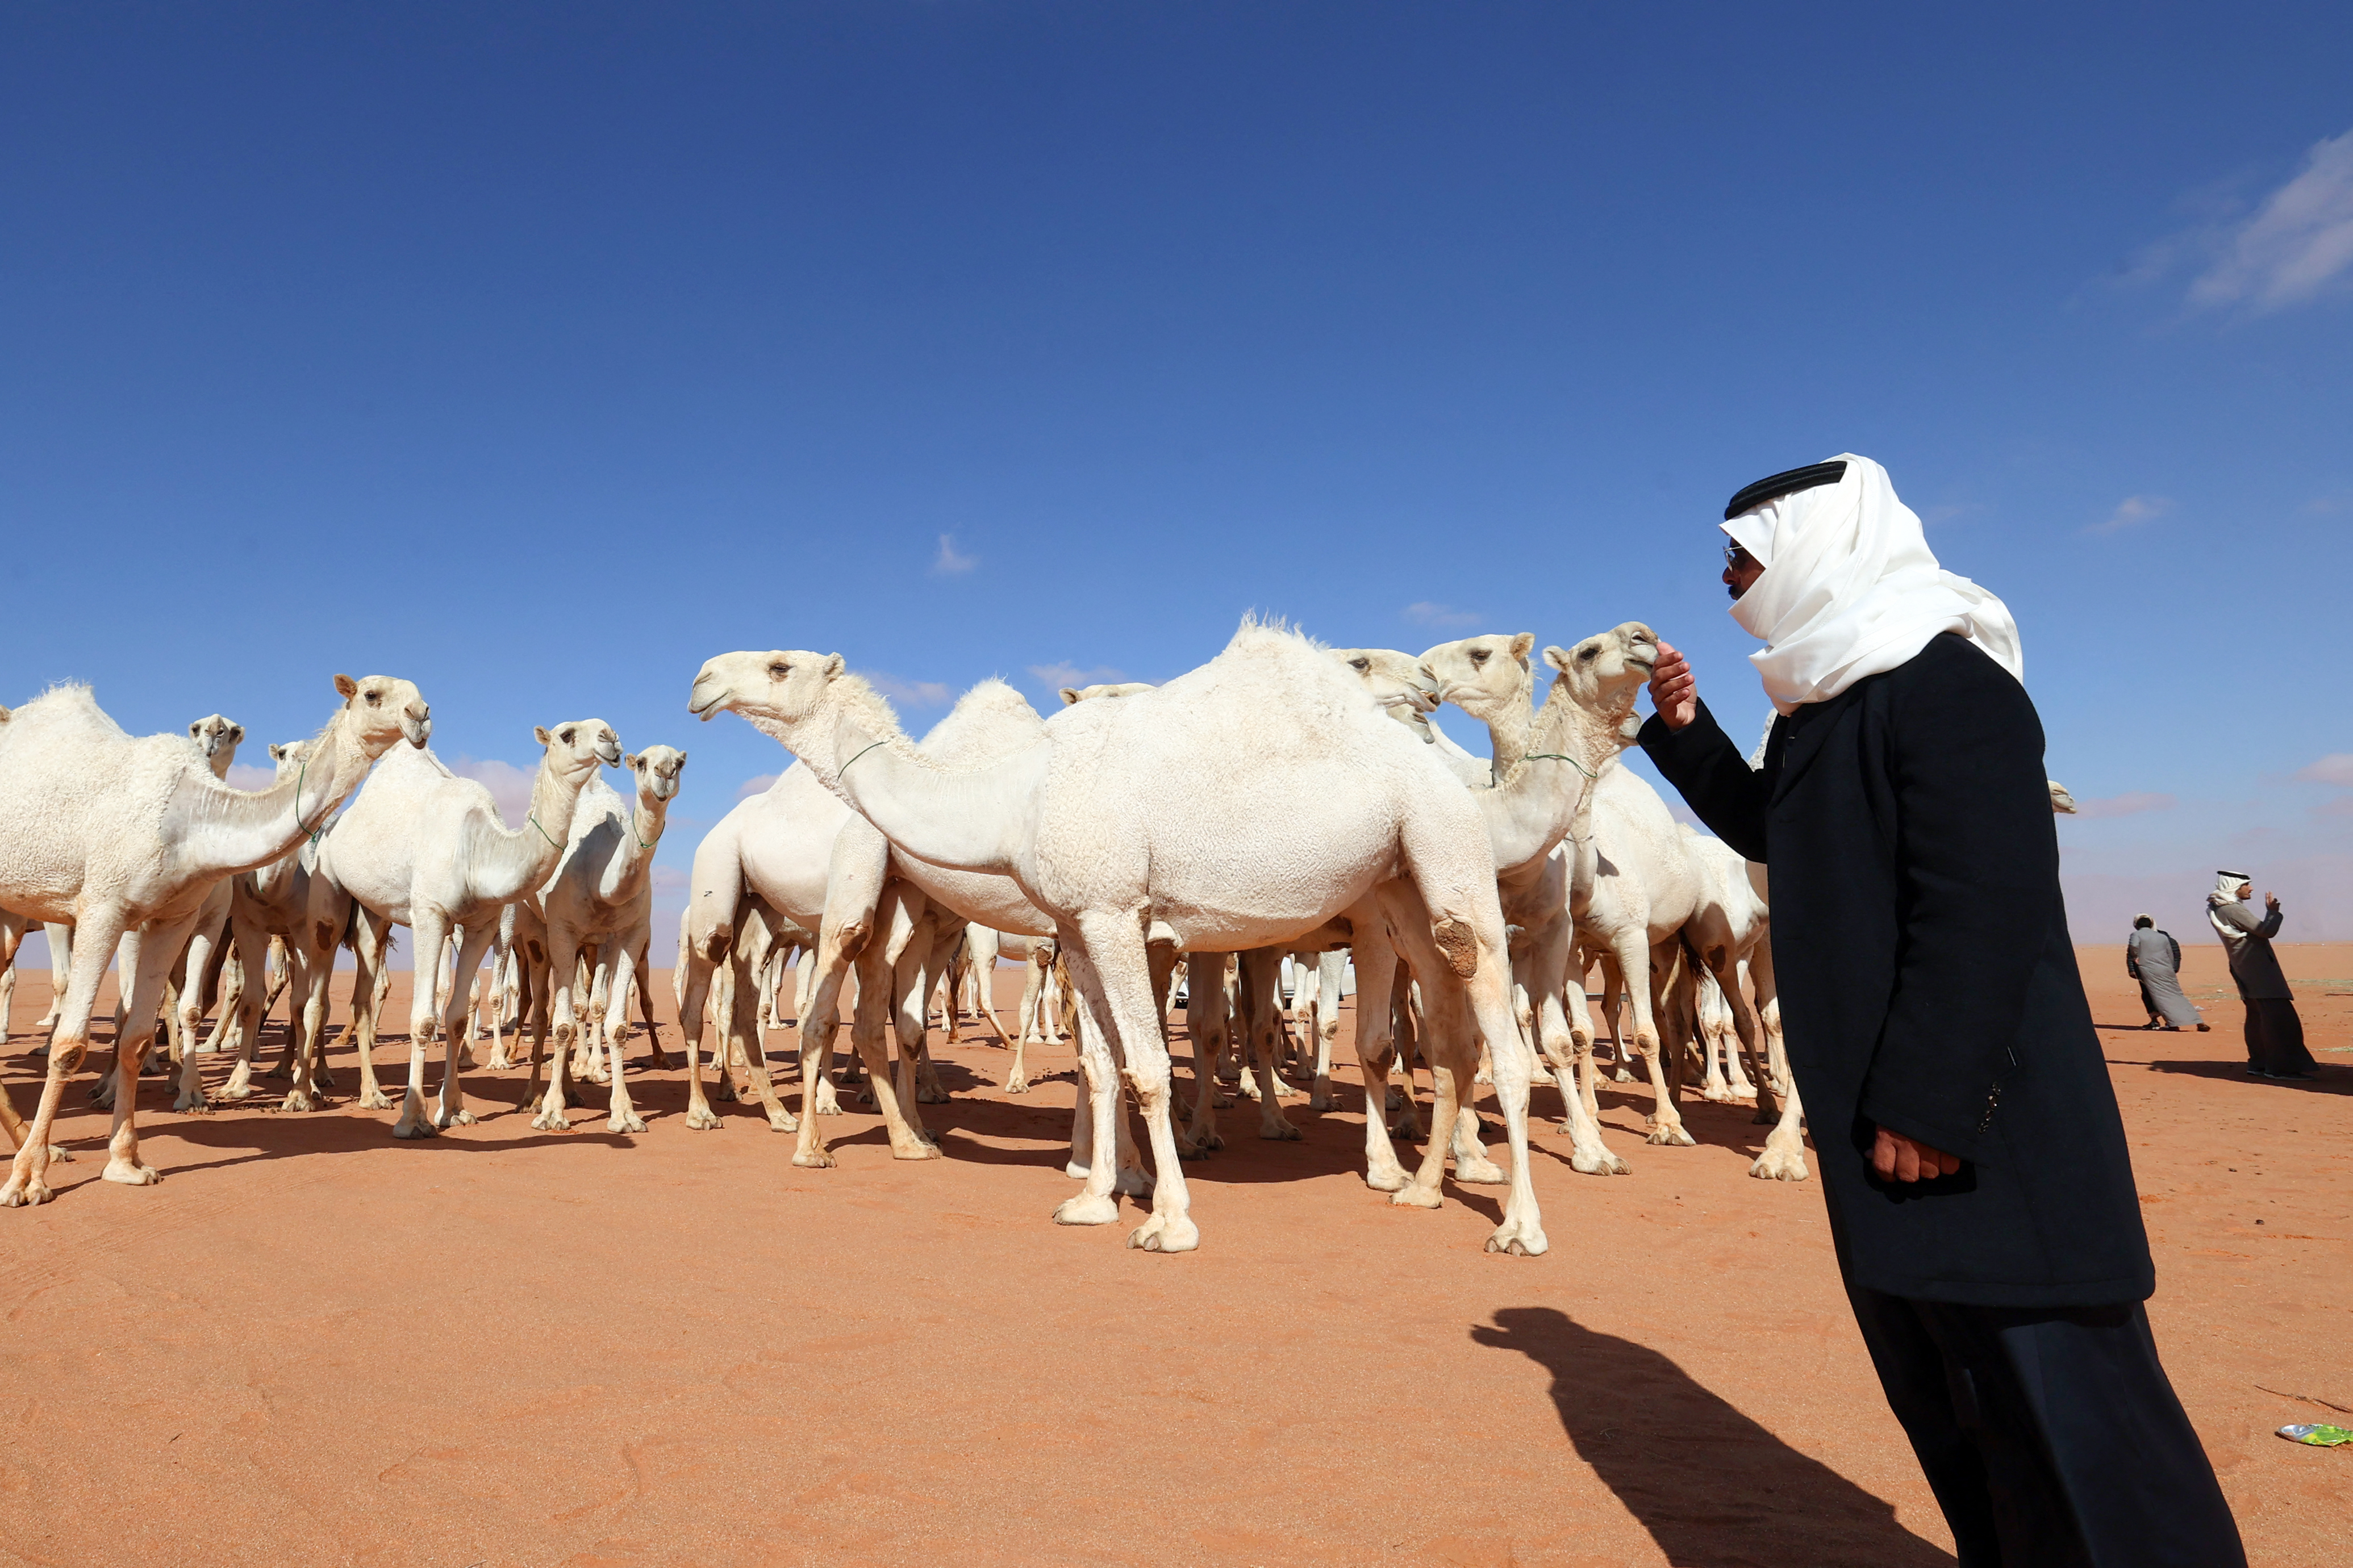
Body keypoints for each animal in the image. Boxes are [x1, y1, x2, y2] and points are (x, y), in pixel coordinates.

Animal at [0, 675, 430, 1206]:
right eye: (372, 695)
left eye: (420, 693)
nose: (421, 717)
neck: (191, 820)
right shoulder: (102, 906)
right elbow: (69, 1044)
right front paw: (27, 1179)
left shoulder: (174, 917)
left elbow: (138, 1038)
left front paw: (126, 1163)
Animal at [303, 720, 619, 1139]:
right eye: (567, 734)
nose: (611, 739)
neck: (477, 850)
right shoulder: (430, 916)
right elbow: (423, 1019)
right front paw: (413, 1119)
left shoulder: (481, 925)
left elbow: (454, 1018)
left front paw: (453, 1109)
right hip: (327, 885)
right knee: (317, 990)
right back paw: (304, 1093)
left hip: (373, 913)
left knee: (362, 996)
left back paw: (372, 1095)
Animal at [689, 620, 1549, 1256]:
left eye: (777, 665)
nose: (700, 678)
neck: (1013, 796)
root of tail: (1455, 783)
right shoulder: (1078, 924)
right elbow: (1101, 1065)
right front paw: (1094, 1198)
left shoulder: (1111, 912)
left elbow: (1146, 1067)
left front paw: (1167, 1220)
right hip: (1401, 880)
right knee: (1451, 1032)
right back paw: (1422, 1189)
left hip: (1444, 848)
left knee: (1498, 1032)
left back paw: (1517, 1226)